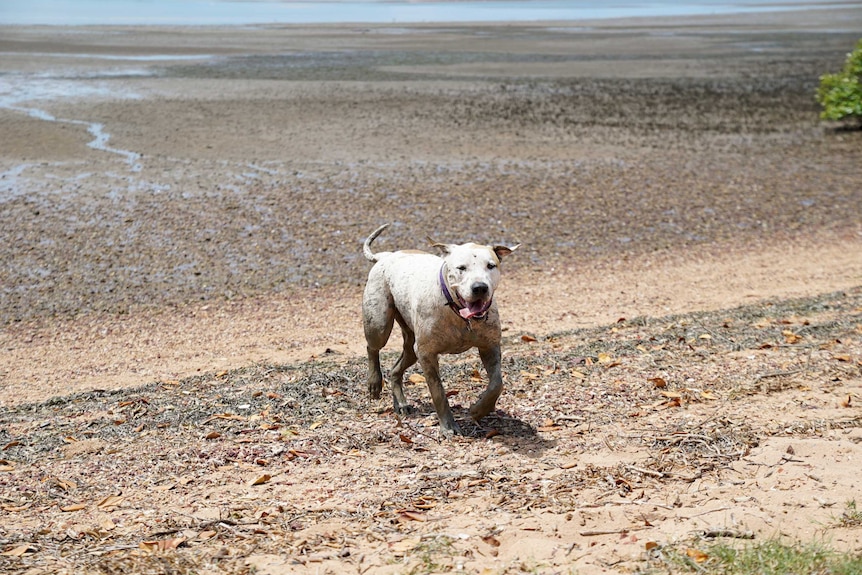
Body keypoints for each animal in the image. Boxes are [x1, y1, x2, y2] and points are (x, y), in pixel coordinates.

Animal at [362, 225, 520, 436]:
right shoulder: (427, 354)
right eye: (461, 268)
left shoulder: (490, 347)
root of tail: (385, 256)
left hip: (411, 346)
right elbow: (438, 392)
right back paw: (374, 382)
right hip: (379, 324)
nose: (480, 287)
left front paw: (478, 410)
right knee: (372, 348)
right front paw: (448, 426)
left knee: (396, 369)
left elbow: (497, 384)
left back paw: (401, 403)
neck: (459, 315)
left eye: (491, 265)